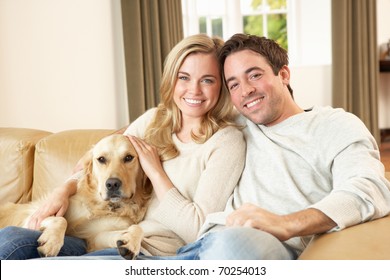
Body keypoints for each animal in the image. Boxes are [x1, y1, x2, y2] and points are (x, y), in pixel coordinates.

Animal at [0, 135, 152, 260]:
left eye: (128, 158)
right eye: (101, 159)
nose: (112, 184)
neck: (102, 205)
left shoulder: (94, 238)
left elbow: (138, 228)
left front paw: (131, 242)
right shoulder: (32, 219)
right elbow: (61, 220)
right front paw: (52, 242)